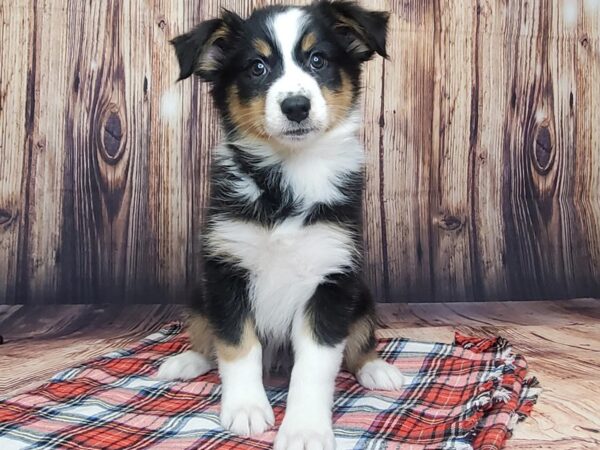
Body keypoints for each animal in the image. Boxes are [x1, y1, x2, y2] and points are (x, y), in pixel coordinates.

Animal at [157, 1, 406, 448]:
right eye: (256, 67)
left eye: (318, 59)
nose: (295, 106)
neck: (290, 175)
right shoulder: (227, 270)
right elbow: (236, 346)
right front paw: (246, 410)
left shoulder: (331, 278)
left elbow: (315, 367)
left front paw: (305, 429)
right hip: (200, 294)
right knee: (207, 338)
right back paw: (185, 362)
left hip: (361, 295)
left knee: (360, 342)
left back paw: (377, 369)